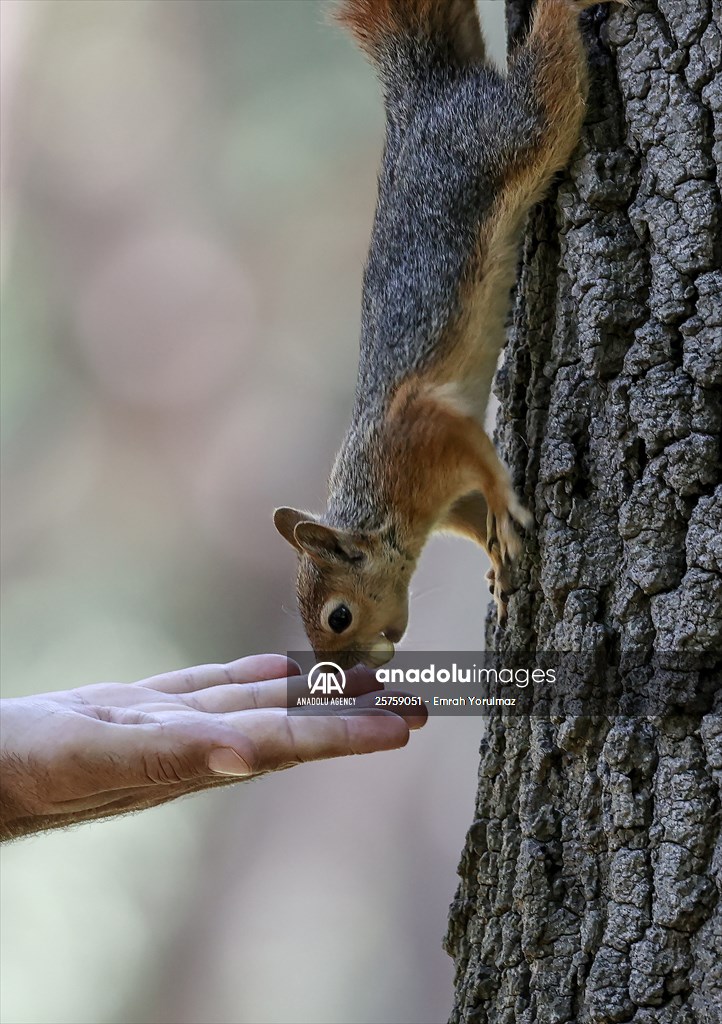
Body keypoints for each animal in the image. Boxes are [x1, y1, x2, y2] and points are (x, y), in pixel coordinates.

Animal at [275, 0, 626, 669]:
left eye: (338, 615)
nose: (356, 669)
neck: (382, 504)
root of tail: (422, 94)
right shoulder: (445, 493)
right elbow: (470, 508)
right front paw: (494, 556)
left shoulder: (421, 430)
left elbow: (476, 456)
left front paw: (504, 505)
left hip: (510, 132)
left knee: (547, 80)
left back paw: (562, 9)